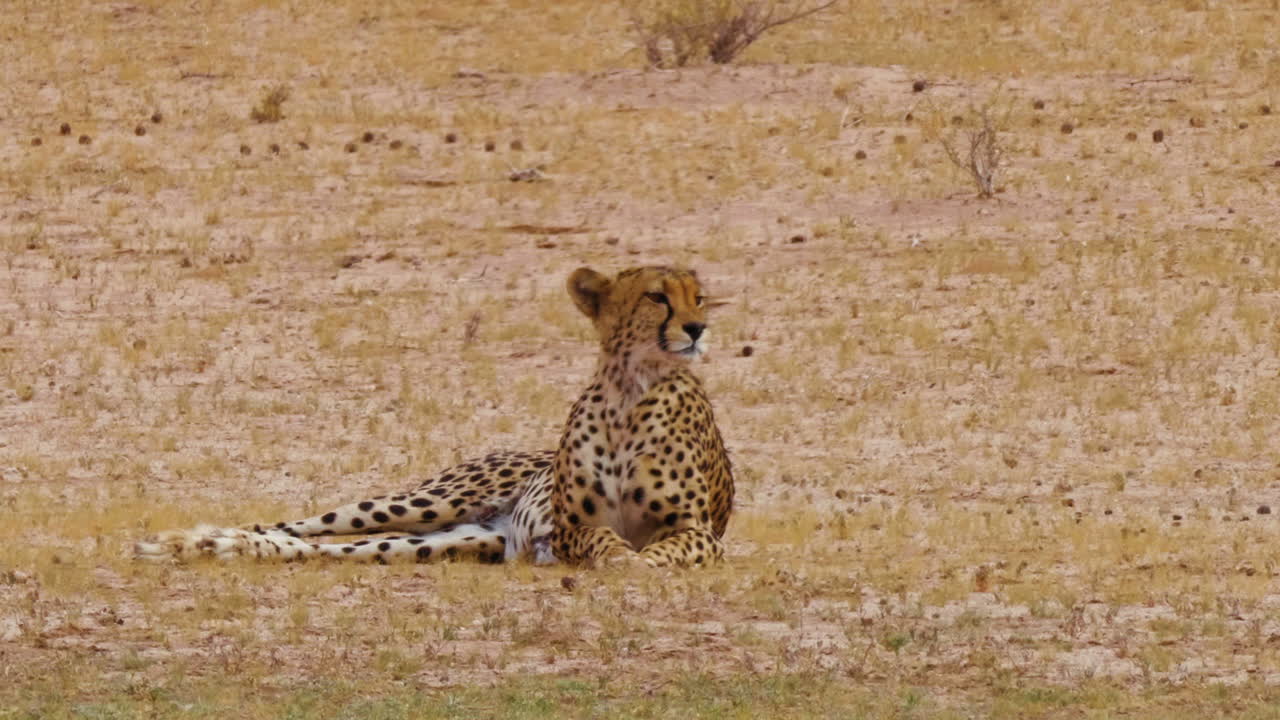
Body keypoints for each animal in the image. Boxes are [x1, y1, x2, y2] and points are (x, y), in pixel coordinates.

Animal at [134, 265, 733, 568]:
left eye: (699, 298)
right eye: (657, 297)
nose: (698, 328)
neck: (633, 389)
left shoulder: (698, 531)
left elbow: (664, 549)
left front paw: (637, 562)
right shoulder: (572, 529)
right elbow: (602, 540)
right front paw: (619, 558)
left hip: (454, 538)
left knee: (325, 548)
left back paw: (210, 547)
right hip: (422, 503)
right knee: (296, 526)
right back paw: (191, 541)